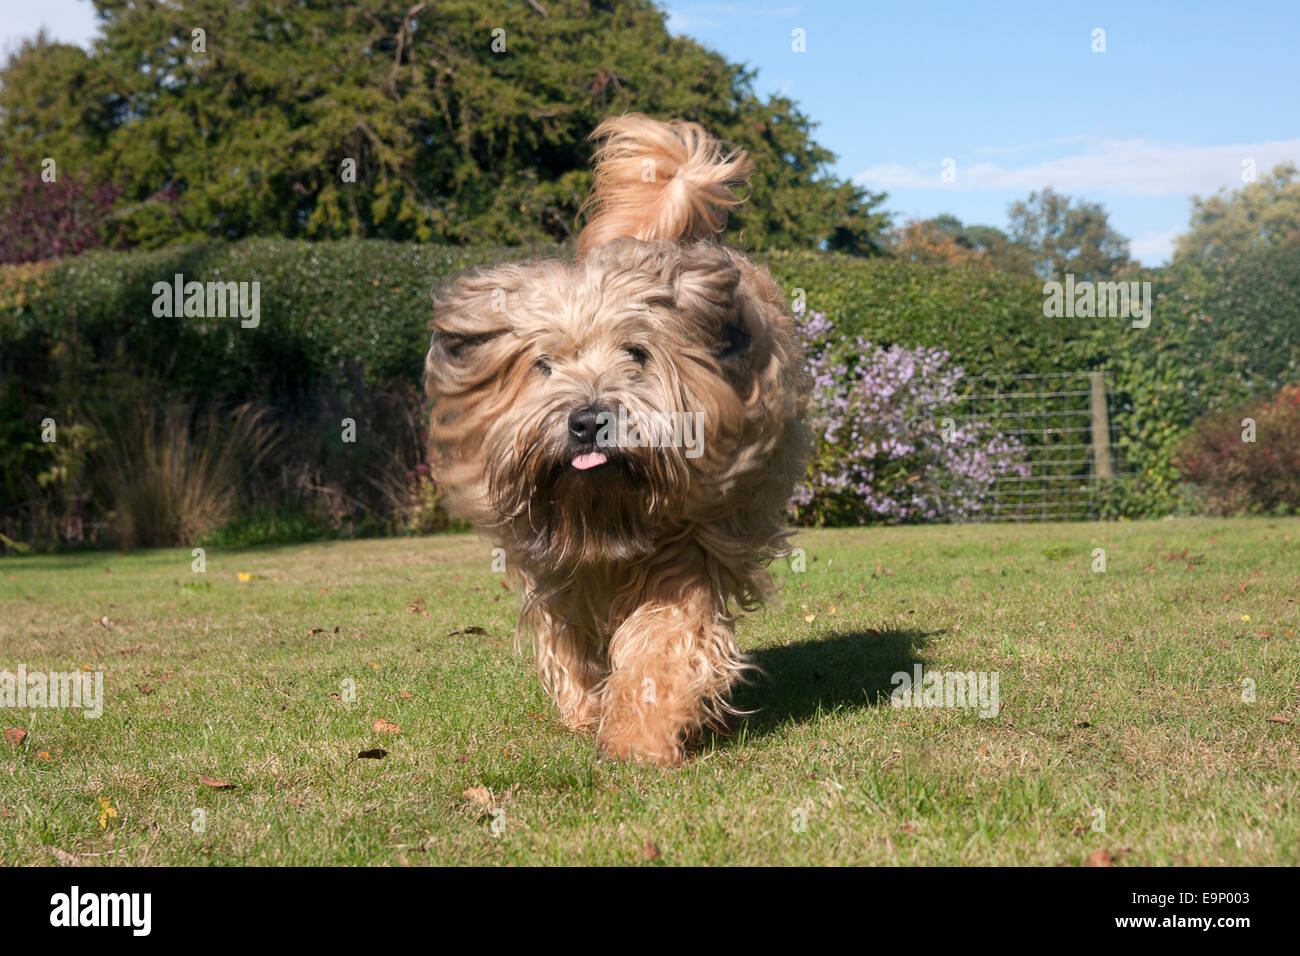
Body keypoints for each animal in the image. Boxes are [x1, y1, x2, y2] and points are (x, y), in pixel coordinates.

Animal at [426, 113, 806, 764]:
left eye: (637, 354)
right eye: (544, 365)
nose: (587, 421)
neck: (605, 507)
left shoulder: (691, 542)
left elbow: (663, 637)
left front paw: (638, 735)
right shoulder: (558, 569)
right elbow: (570, 636)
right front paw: (586, 709)